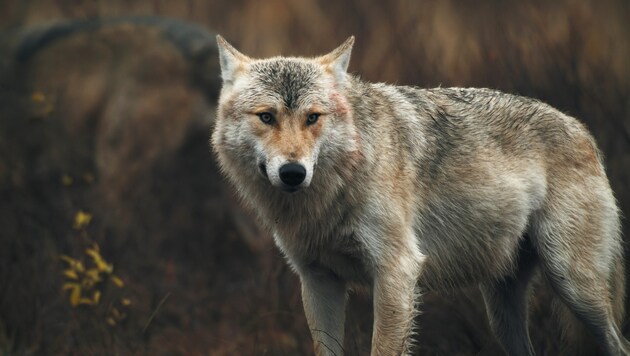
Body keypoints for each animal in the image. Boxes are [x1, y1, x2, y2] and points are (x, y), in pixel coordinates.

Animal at [214, 36, 630, 356]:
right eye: (266, 117)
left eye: (312, 117)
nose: (293, 173)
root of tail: (583, 130)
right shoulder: (318, 279)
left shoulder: (397, 272)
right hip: (501, 310)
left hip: (573, 285)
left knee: (618, 344)